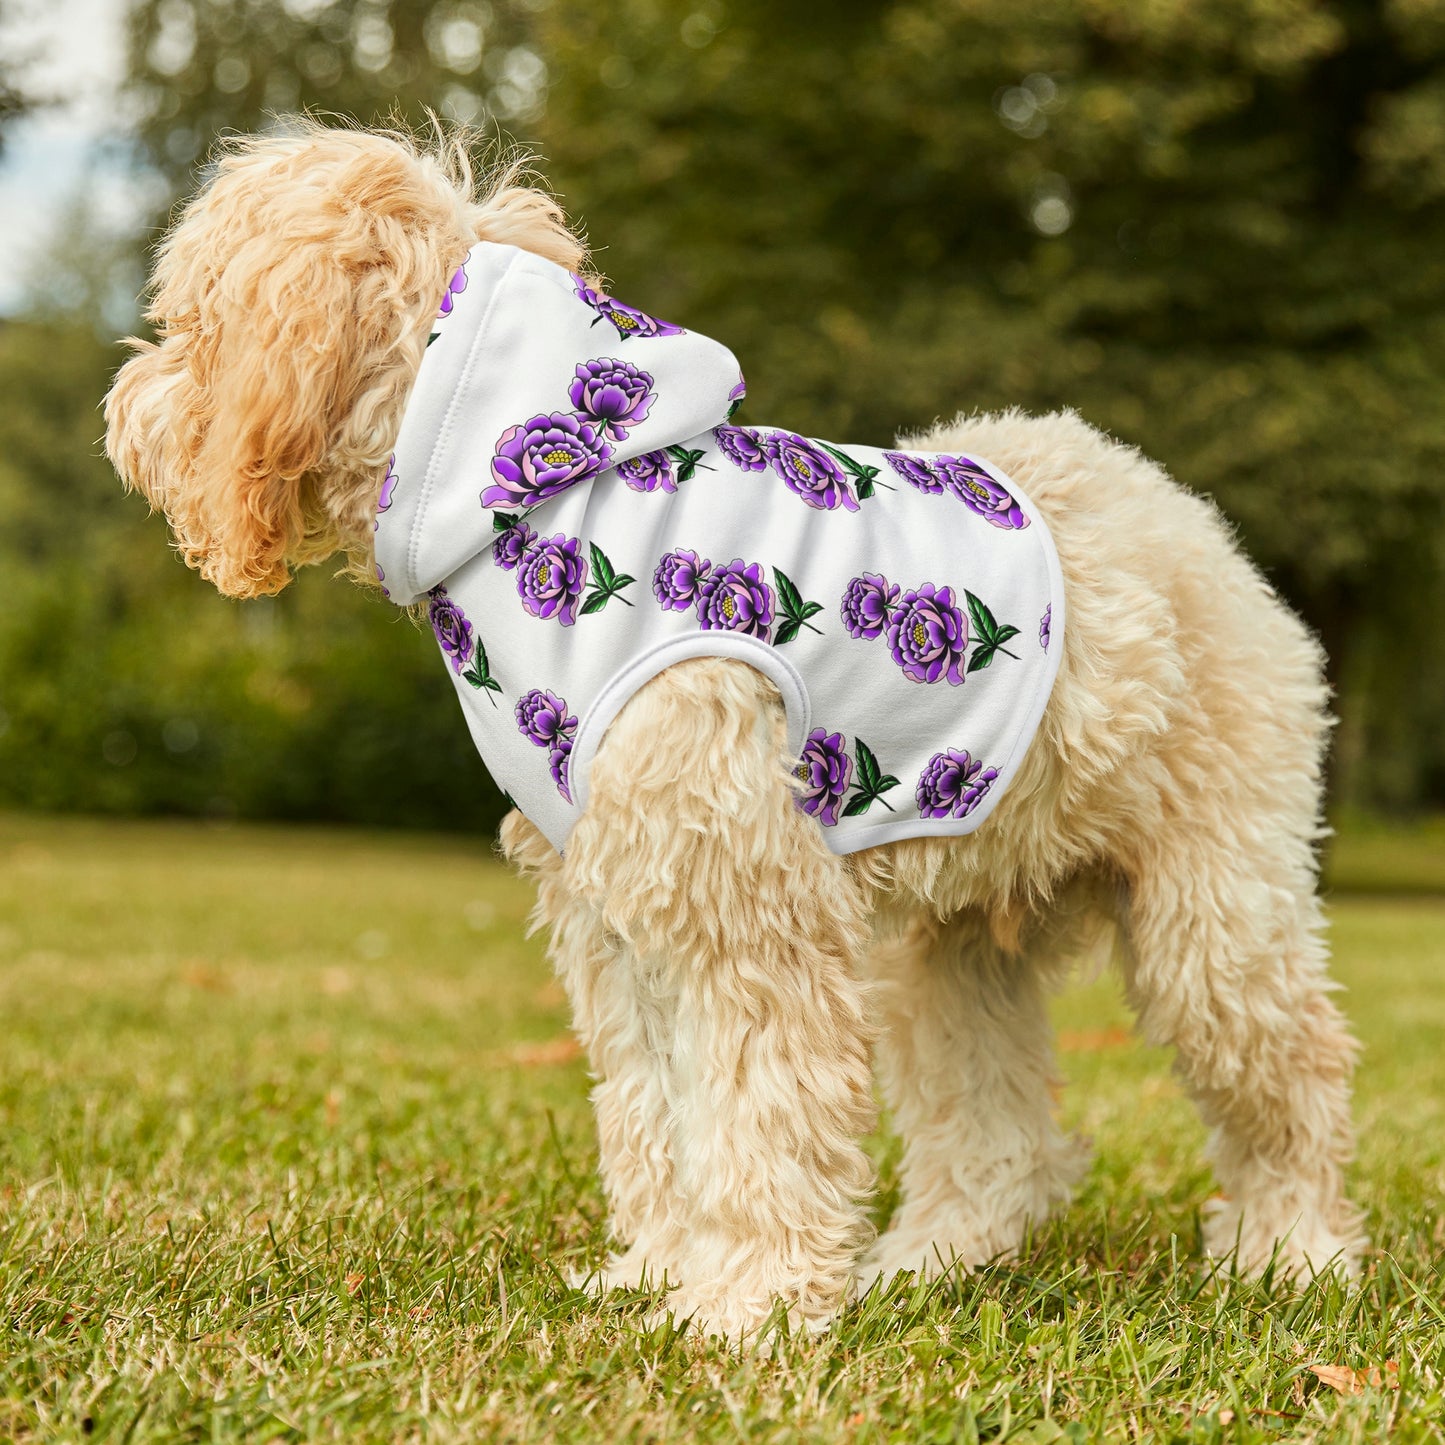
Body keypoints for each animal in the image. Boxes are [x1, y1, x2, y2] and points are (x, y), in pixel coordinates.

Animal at [104, 124, 1364, 1340]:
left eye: (190, 319)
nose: (123, 406)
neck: (538, 497)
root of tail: (1185, 518)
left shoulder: (744, 905)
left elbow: (759, 1109)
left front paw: (747, 1305)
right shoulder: (618, 911)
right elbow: (656, 1110)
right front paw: (661, 1273)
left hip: (1212, 911)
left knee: (1292, 1072)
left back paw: (1290, 1252)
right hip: (948, 947)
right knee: (994, 1131)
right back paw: (929, 1260)